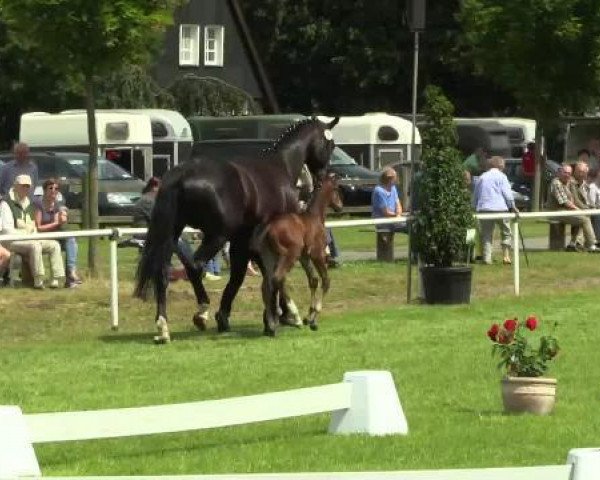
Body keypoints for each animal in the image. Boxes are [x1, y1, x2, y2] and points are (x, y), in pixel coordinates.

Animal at [134, 116, 338, 344]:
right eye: (331, 145)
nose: (323, 176)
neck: (281, 165)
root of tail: (181, 175)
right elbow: (271, 275)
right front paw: (286, 314)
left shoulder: (244, 239)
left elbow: (240, 276)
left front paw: (225, 316)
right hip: (216, 236)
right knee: (195, 266)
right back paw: (201, 312)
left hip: (172, 235)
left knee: (162, 272)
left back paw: (163, 326)